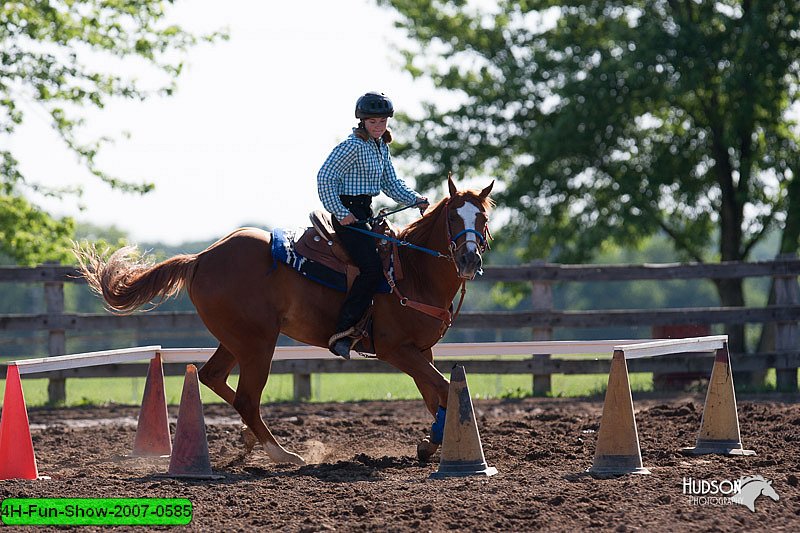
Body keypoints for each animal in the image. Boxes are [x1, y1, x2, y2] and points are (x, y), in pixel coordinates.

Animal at [75, 177, 494, 464]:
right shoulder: (396, 350)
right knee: (246, 397)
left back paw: (250, 440)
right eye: (452, 217)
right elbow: (444, 388)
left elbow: (436, 394)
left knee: (213, 378)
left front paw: (432, 443)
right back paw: (281, 453)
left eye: (483, 217)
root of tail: (200, 258)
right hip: (258, 343)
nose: (469, 260)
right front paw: (433, 445)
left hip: (237, 340)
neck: (412, 270)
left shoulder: (422, 350)